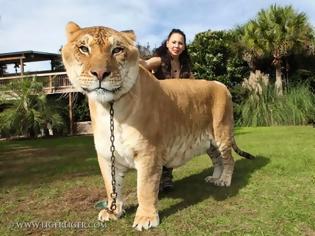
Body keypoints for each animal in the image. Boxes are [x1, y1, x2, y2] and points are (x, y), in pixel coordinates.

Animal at [61, 21, 254, 230]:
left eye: (117, 49)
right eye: (83, 48)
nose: (100, 73)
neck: (110, 109)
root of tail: (220, 84)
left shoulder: (149, 153)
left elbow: (144, 188)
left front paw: (145, 218)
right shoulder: (106, 155)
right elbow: (112, 185)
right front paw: (113, 211)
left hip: (221, 133)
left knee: (229, 160)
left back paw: (224, 181)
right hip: (209, 141)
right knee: (218, 159)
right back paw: (215, 178)